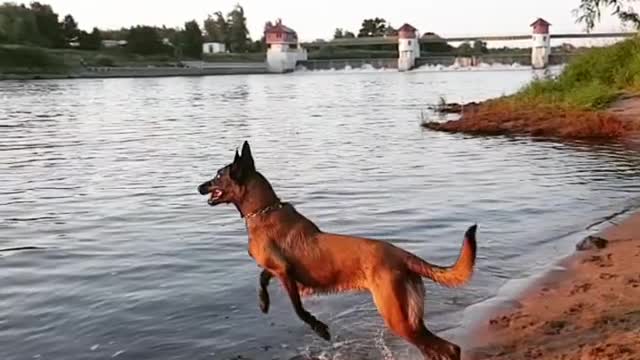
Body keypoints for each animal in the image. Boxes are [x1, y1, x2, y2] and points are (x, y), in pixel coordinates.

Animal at [198, 142, 478, 358]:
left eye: (218, 175)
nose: (199, 187)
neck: (263, 210)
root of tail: (402, 255)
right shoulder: (277, 269)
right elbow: (261, 279)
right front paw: (263, 302)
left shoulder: (286, 273)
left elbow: (299, 310)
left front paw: (319, 328)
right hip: (410, 318)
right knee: (442, 349)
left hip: (397, 317)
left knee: (447, 348)